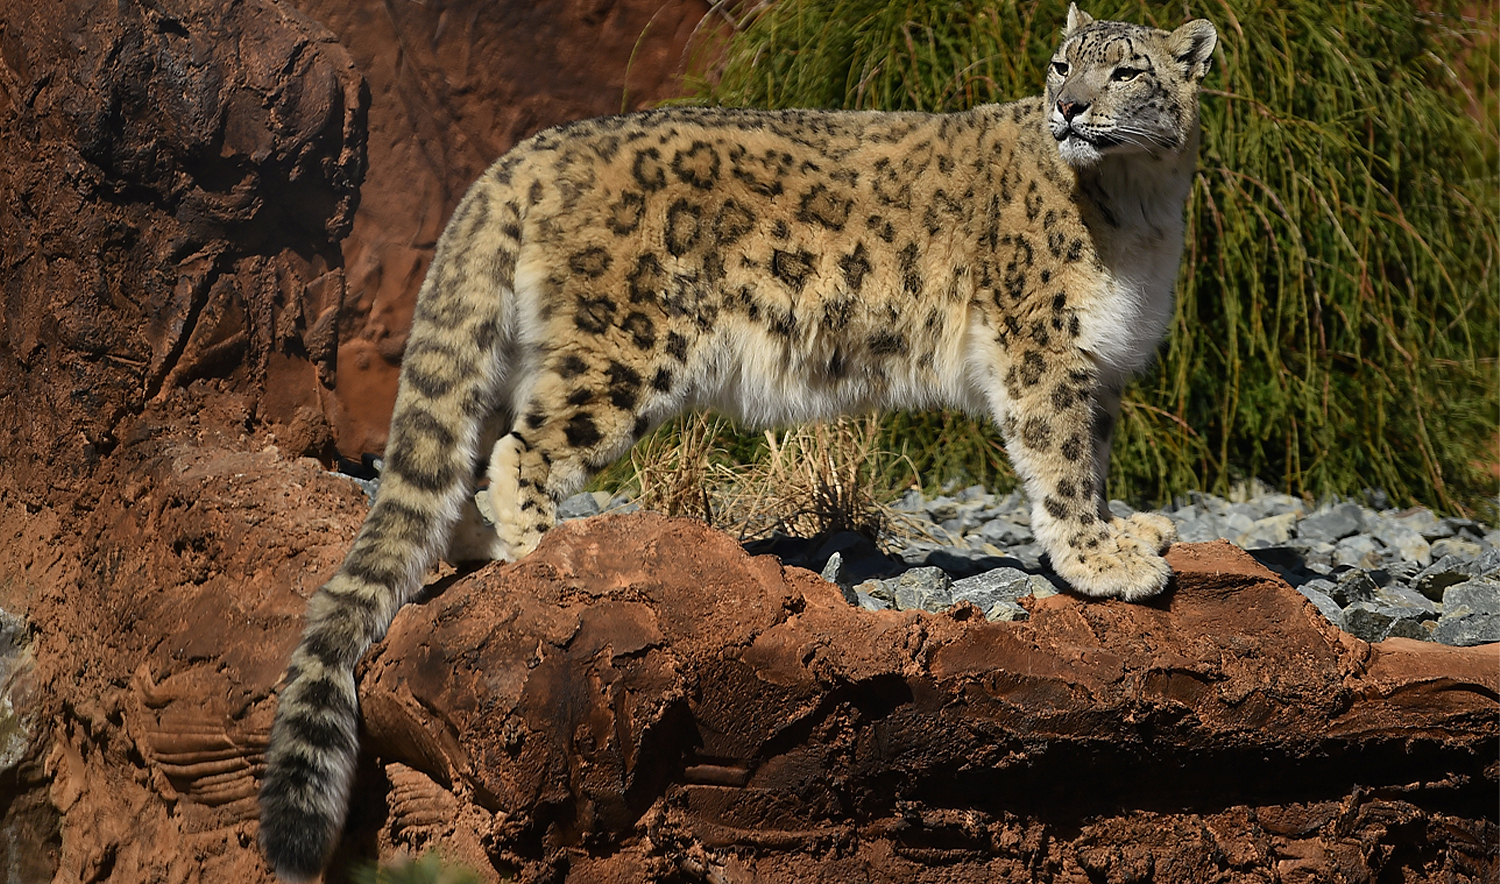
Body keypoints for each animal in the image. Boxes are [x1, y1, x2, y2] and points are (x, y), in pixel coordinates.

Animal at [258, 5, 1218, 878]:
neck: (1142, 212)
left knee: (463, 453)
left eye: (1125, 71)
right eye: (1061, 63)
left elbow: (1093, 459)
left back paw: (480, 544)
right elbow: (1062, 464)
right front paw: (1105, 564)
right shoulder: (1044, 352)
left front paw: (1131, 532)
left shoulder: (1103, 366)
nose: (1069, 107)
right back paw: (535, 550)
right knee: (519, 448)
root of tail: (529, 151)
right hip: (624, 350)